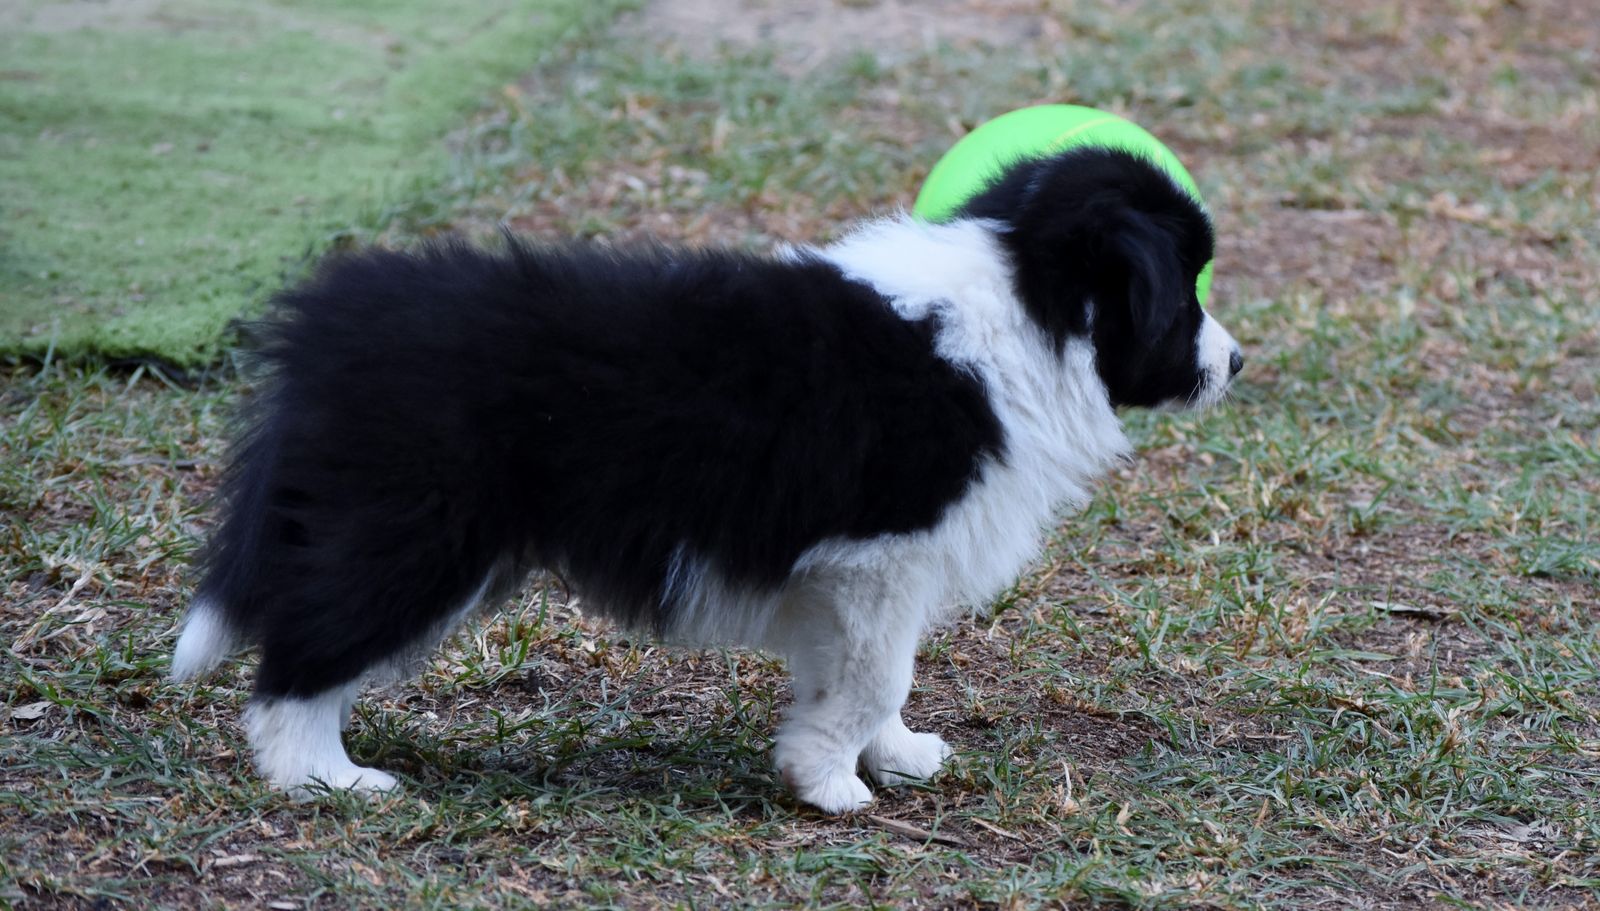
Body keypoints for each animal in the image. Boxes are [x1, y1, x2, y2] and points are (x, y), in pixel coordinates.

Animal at [171, 147, 1242, 814]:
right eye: (1186, 291)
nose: (1237, 363)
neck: (1025, 298)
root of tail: (327, 326)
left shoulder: (853, 579)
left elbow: (864, 675)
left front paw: (886, 754)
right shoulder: (879, 557)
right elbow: (876, 673)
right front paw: (830, 784)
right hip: (415, 530)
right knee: (307, 648)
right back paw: (323, 777)